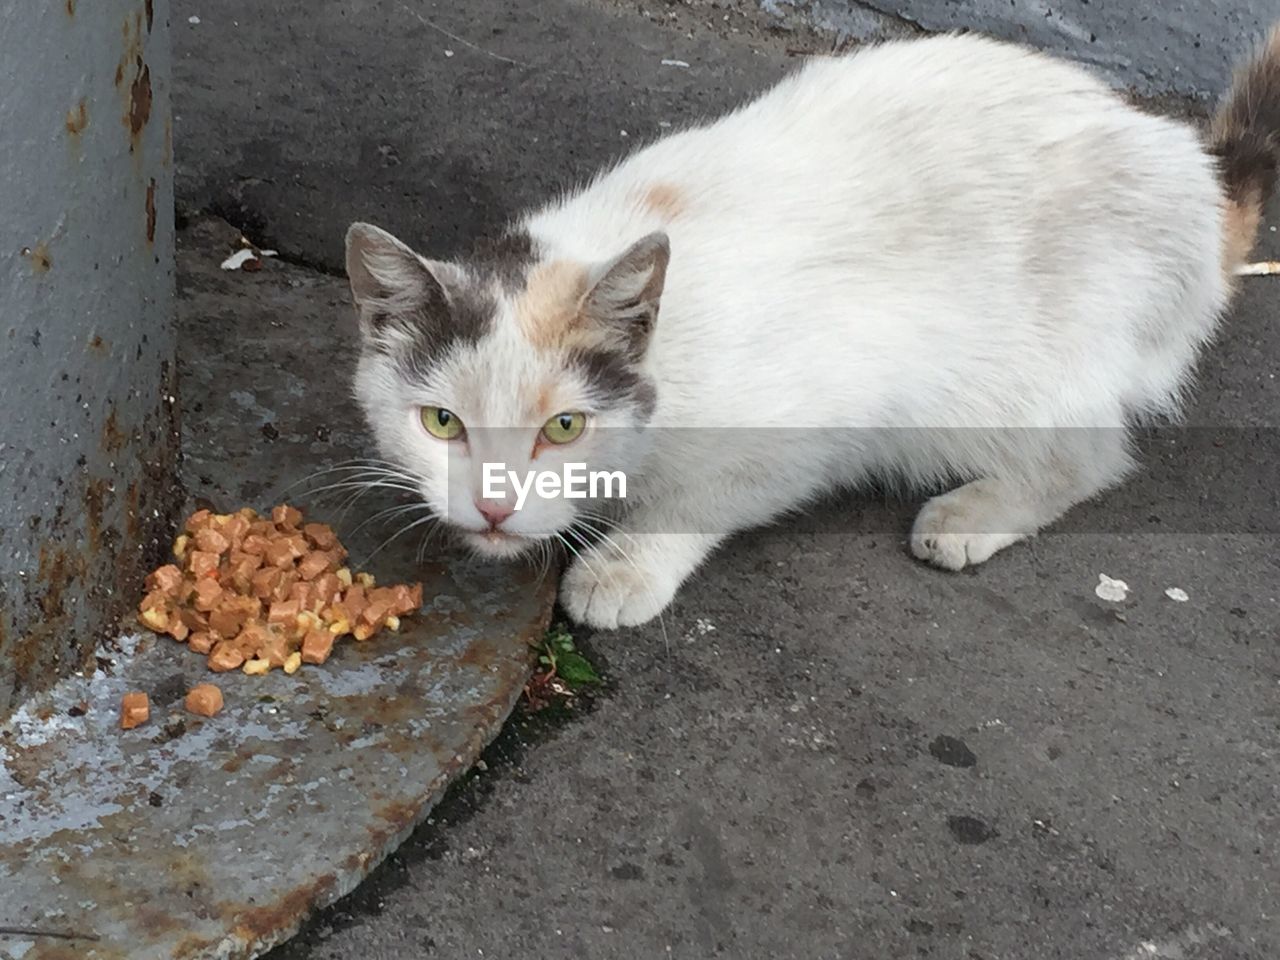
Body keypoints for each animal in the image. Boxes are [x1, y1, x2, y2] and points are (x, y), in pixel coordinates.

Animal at [340, 28, 1280, 632]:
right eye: (442, 422)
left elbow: (707, 495)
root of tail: (1195, 175)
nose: (494, 507)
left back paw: (971, 513)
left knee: (1087, 457)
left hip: (1021, 367)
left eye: (565, 427)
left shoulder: (824, 413)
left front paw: (623, 565)